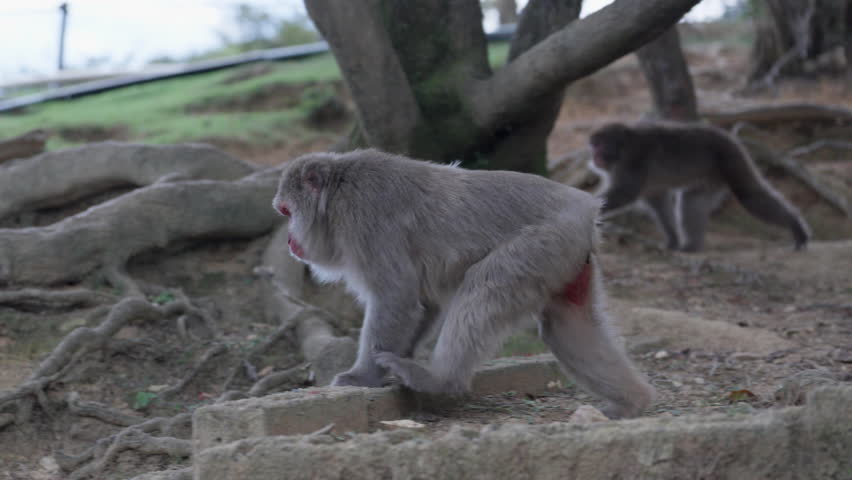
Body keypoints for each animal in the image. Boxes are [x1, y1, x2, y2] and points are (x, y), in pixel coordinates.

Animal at [272, 148, 655, 419]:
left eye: (286, 212)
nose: (289, 241)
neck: (337, 195)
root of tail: (586, 208)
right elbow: (423, 303)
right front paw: (392, 362)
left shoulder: (363, 219)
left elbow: (396, 297)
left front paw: (362, 375)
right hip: (568, 255)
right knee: (567, 325)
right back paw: (632, 401)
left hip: (543, 242)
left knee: (484, 287)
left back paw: (441, 381)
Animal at [587, 122, 811, 252]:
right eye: (594, 145)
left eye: (601, 145)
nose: (594, 155)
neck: (624, 149)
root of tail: (728, 136)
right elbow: (658, 201)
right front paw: (672, 240)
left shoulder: (634, 162)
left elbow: (625, 194)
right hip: (712, 177)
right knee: (692, 201)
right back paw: (691, 246)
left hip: (730, 156)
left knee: (749, 194)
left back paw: (795, 224)